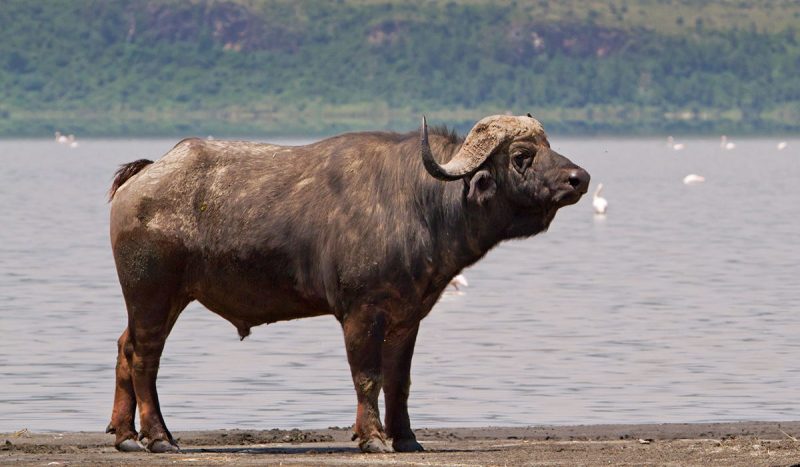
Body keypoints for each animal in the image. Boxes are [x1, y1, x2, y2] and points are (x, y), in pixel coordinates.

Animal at [106, 114, 589, 453]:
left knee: (125, 348)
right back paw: (159, 437)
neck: (420, 203)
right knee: (145, 357)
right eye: (522, 155)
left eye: (548, 145)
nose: (579, 178)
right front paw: (372, 437)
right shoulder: (361, 313)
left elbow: (399, 380)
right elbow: (367, 376)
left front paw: (406, 438)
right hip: (152, 294)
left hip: (163, 300)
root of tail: (145, 174)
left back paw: (125, 434)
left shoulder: (407, 317)